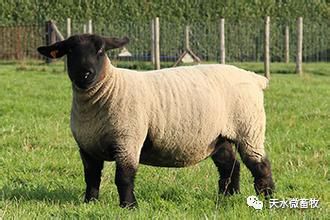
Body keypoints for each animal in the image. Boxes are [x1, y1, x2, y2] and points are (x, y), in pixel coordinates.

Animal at [37, 34, 274, 208]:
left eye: (101, 51)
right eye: (70, 52)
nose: (85, 74)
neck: (108, 89)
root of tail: (255, 78)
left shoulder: (128, 140)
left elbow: (124, 177)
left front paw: (129, 206)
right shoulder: (87, 146)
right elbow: (91, 177)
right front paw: (89, 203)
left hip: (249, 129)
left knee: (260, 164)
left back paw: (267, 199)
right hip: (218, 136)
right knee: (230, 165)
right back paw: (228, 196)